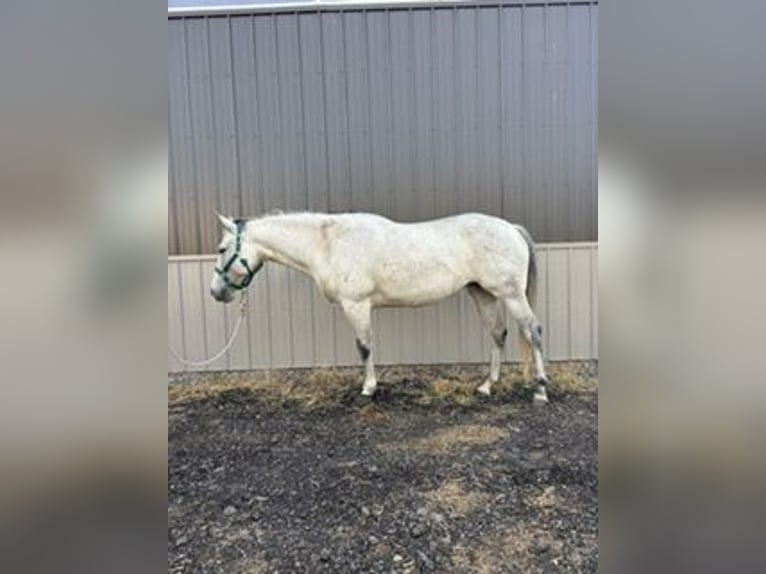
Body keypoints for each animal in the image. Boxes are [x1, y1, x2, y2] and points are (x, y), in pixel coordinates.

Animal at [210, 211, 549, 404]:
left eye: (222, 248)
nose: (216, 292)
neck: (328, 244)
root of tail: (511, 228)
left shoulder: (356, 305)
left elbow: (364, 347)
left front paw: (367, 390)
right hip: (484, 293)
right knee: (498, 334)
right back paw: (487, 386)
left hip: (511, 294)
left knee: (532, 331)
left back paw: (541, 390)